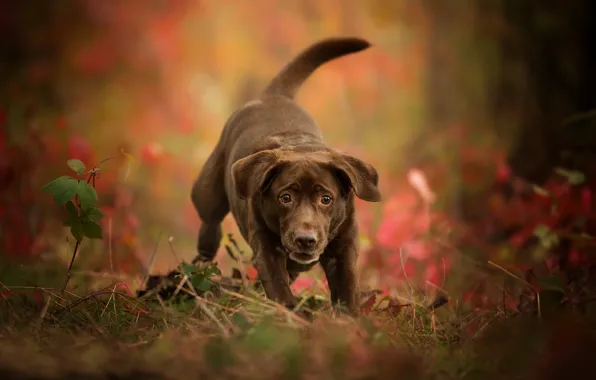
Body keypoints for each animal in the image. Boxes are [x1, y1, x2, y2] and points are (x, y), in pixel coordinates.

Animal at [193, 37, 384, 316]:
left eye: (326, 199)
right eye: (285, 197)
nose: (305, 240)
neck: (300, 147)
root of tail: (273, 95)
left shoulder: (344, 248)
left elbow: (347, 288)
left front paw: (348, 318)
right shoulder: (266, 248)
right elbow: (278, 286)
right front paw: (293, 314)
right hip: (208, 193)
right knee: (209, 223)